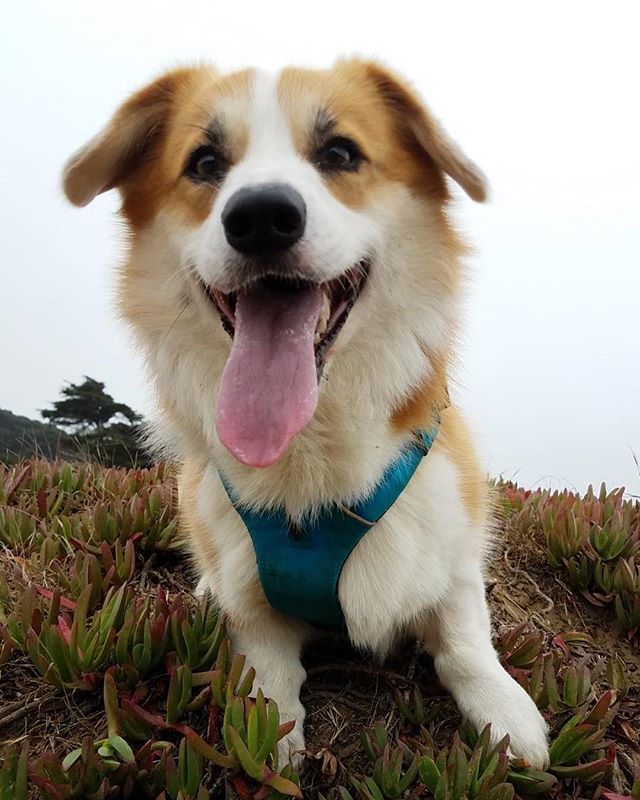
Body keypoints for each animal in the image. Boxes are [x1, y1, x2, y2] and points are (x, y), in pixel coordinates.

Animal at [62, 57, 548, 768]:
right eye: (205, 162)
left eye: (340, 153)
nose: (261, 216)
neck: (311, 458)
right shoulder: (250, 600)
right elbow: (267, 667)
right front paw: (271, 730)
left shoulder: (453, 542)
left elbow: (464, 639)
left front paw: (506, 710)